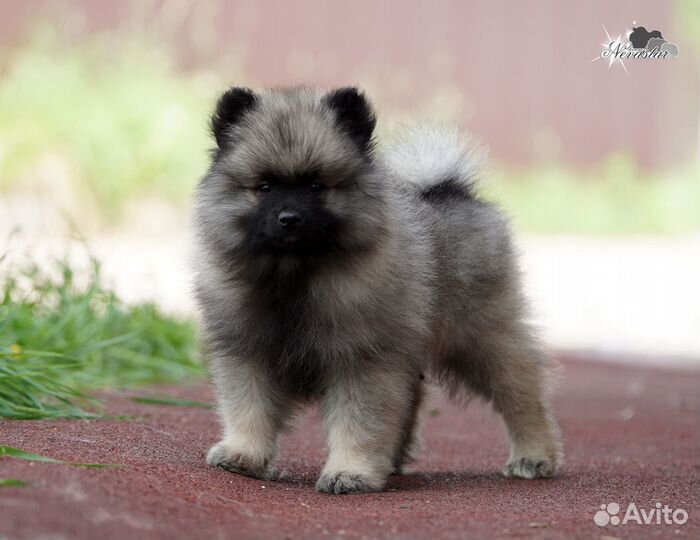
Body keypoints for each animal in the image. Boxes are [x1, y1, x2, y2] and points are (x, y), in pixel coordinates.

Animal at [191, 86, 564, 496]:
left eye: (316, 185)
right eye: (264, 187)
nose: (289, 219)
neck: (295, 275)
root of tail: (451, 190)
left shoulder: (361, 361)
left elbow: (359, 422)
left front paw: (350, 471)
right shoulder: (248, 353)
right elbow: (249, 409)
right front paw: (243, 455)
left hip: (482, 338)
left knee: (521, 393)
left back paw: (534, 455)